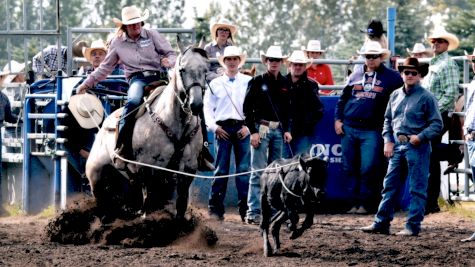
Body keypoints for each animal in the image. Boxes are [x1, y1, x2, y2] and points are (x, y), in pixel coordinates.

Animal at [86, 40, 209, 220]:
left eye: (206, 70)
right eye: (182, 69)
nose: (196, 104)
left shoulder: (188, 168)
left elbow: (181, 204)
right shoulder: (147, 167)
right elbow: (148, 203)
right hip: (96, 175)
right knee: (103, 204)